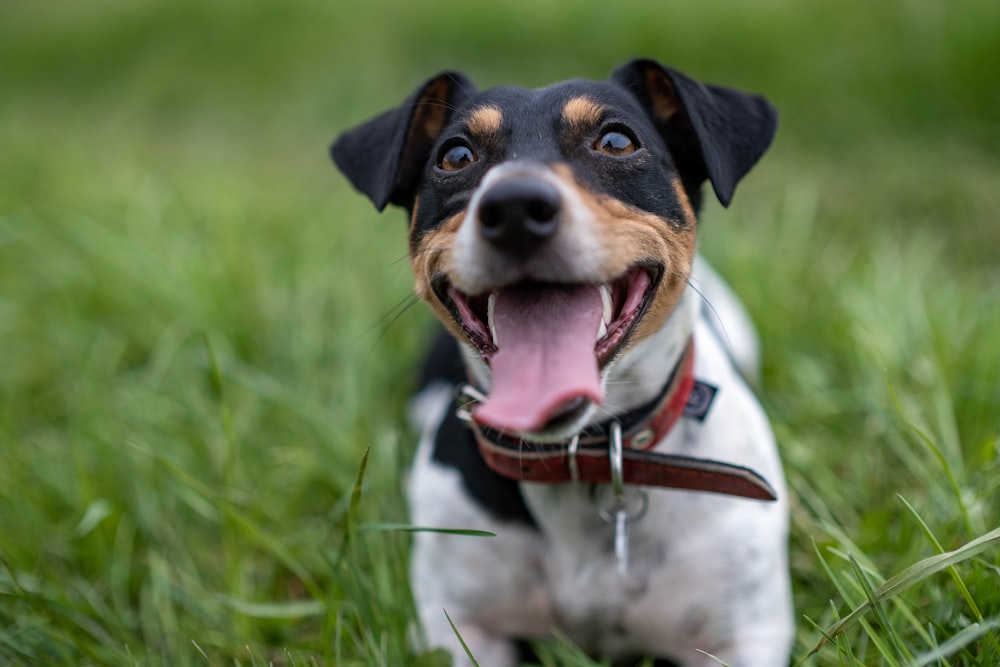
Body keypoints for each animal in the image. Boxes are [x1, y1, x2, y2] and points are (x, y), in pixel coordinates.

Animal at [332, 58, 792, 667]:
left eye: (617, 141)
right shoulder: (460, 625)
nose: (514, 208)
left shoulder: (742, 635)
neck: (582, 456)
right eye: (455, 156)